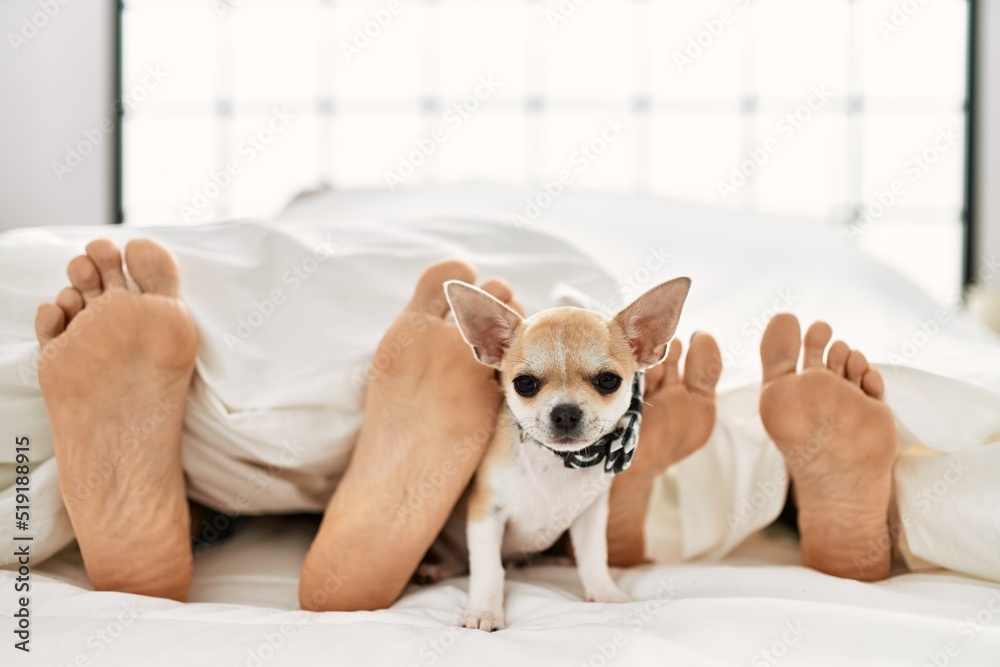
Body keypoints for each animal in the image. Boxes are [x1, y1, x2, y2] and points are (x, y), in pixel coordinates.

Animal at [442, 276, 692, 632]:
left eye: (608, 381)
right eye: (524, 384)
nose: (565, 413)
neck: (557, 463)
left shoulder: (590, 516)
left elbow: (594, 557)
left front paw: (605, 594)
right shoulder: (485, 513)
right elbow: (489, 569)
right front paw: (485, 612)